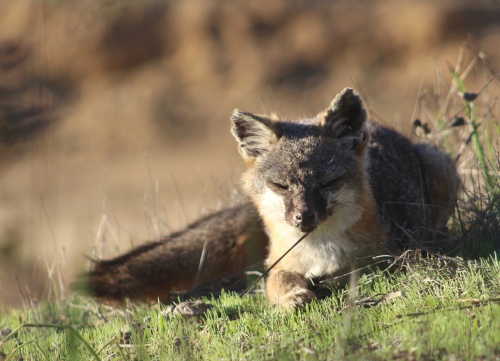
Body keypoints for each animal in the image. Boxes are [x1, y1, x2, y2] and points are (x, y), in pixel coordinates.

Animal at [80, 88, 458, 308]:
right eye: (282, 186)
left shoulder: (383, 256)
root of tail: (381, 130)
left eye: (327, 183)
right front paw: (293, 293)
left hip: (443, 168)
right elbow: (276, 281)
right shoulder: (278, 263)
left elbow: (355, 270)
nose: (303, 217)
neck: (319, 249)